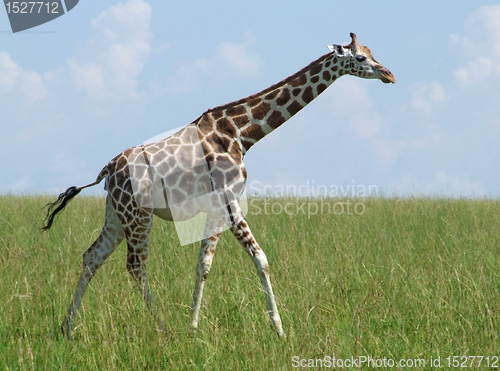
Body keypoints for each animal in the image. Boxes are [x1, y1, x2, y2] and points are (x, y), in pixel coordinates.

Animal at [43, 33, 394, 338]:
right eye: (360, 57)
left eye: (372, 52)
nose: (389, 74)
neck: (242, 133)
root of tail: (107, 170)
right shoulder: (229, 201)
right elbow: (261, 259)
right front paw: (279, 330)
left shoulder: (215, 208)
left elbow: (203, 265)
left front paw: (193, 327)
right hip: (138, 215)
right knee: (135, 265)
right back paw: (163, 328)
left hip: (116, 215)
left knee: (92, 257)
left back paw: (67, 328)